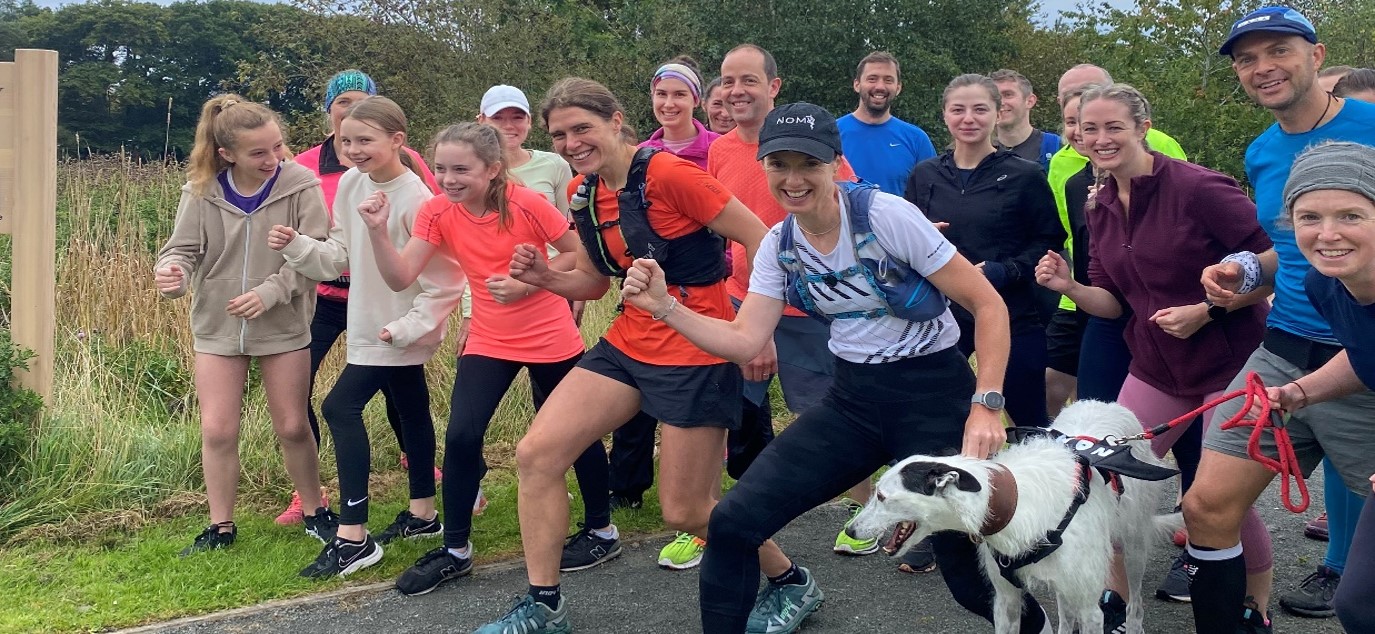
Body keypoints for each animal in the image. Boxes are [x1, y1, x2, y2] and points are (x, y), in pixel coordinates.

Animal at [847, 401, 1171, 632]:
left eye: (881, 496)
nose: (851, 531)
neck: (1014, 502)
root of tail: (1108, 404)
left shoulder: (1090, 607)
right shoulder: (1006, 600)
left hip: (1133, 551)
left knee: (1135, 606)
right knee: (1066, 616)